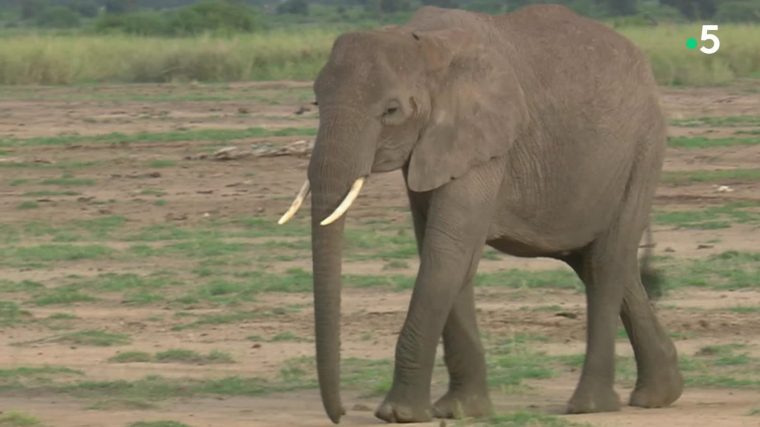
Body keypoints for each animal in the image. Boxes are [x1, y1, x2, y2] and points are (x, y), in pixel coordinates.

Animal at [278, 4, 684, 424]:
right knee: (597, 263)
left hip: (642, 151)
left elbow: (447, 252)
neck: (424, 44)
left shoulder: (484, 144)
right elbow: (448, 255)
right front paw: (460, 410)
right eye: (316, 103)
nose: (339, 413)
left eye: (391, 110)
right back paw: (659, 395)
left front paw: (399, 413)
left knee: (606, 262)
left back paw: (589, 406)